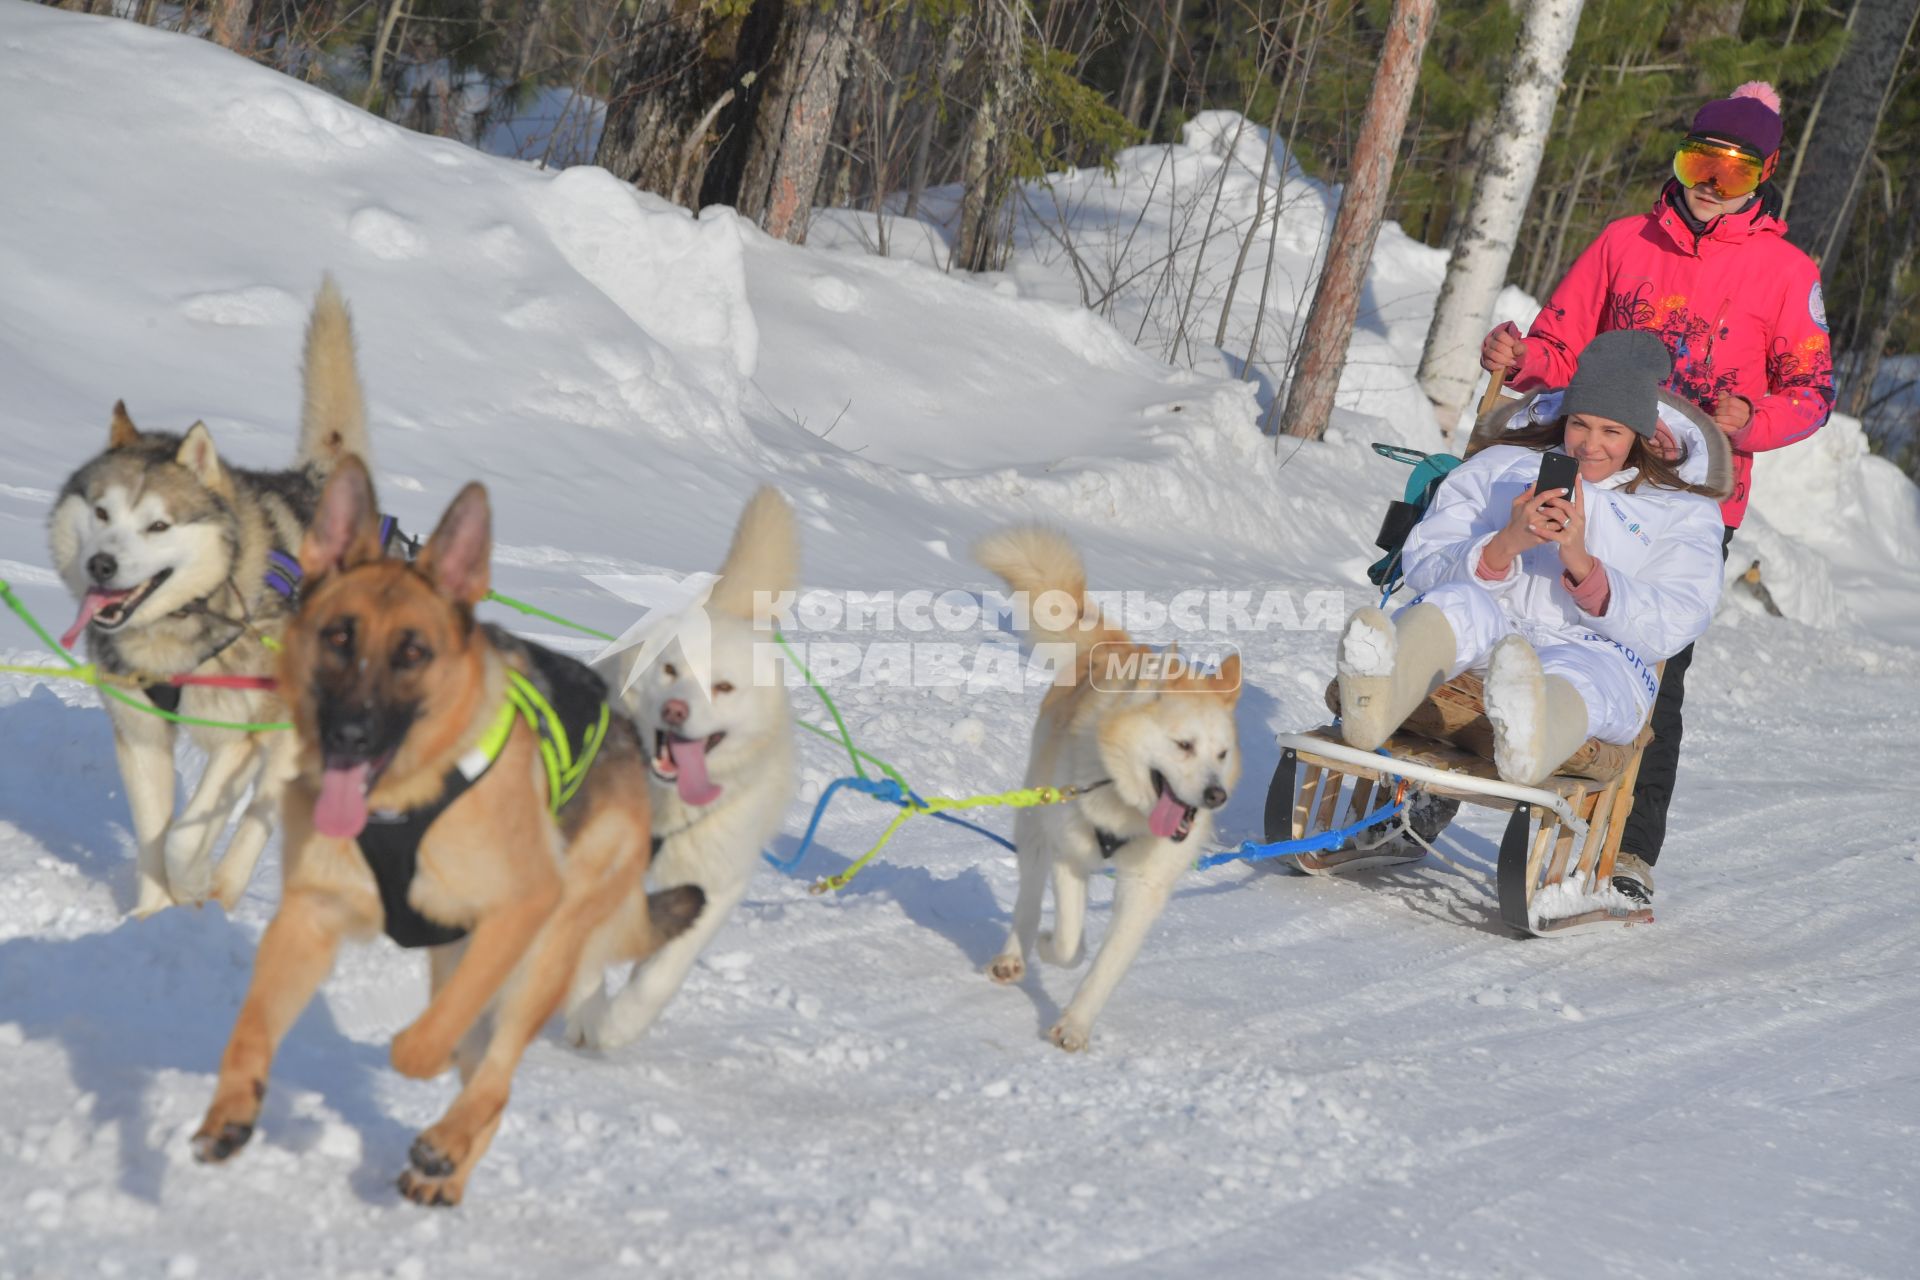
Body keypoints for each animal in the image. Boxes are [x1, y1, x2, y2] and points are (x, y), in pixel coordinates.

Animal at [46, 282, 368, 921]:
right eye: (101, 512)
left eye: (159, 525)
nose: (102, 566)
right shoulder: (140, 733)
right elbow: (154, 837)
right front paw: (149, 921)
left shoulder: (238, 737)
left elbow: (183, 838)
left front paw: (191, 888)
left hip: (296, 735)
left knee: (261, 817)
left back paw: (224, 889)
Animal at [194, 462, 702, 1212]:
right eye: (338, 637)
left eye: (413, 652)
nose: (349, 735)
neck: (401, 803)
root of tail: (627, 741)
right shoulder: (308, 918)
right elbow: (252, 1026)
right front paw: (230, 1112)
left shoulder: (518, 911)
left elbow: (425, 1047)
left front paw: (415, 1075)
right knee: (483, 1067)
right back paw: (449, 1166)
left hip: (540, 953)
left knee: (495, 1073)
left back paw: (446, 1148)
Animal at [560, 491, 794, 1051]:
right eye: (670, 670)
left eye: (724, 687)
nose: (675, 710)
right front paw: (586, 1012)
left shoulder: (713, 883)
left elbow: (659, 975)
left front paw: (617, 1024)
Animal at [983, 525, 1236, 1059]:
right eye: (1184, 745)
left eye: (1222, 754)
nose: (1214, 796)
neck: (1125, 809)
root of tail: (1116, 646)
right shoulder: (1067, 857)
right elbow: (1066, 939)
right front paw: (1055, 945)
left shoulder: (1145, 889)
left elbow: (1107, 965)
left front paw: (1075, 1025)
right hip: (1034, 826)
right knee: (1027, 900)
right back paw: (1016, 952)